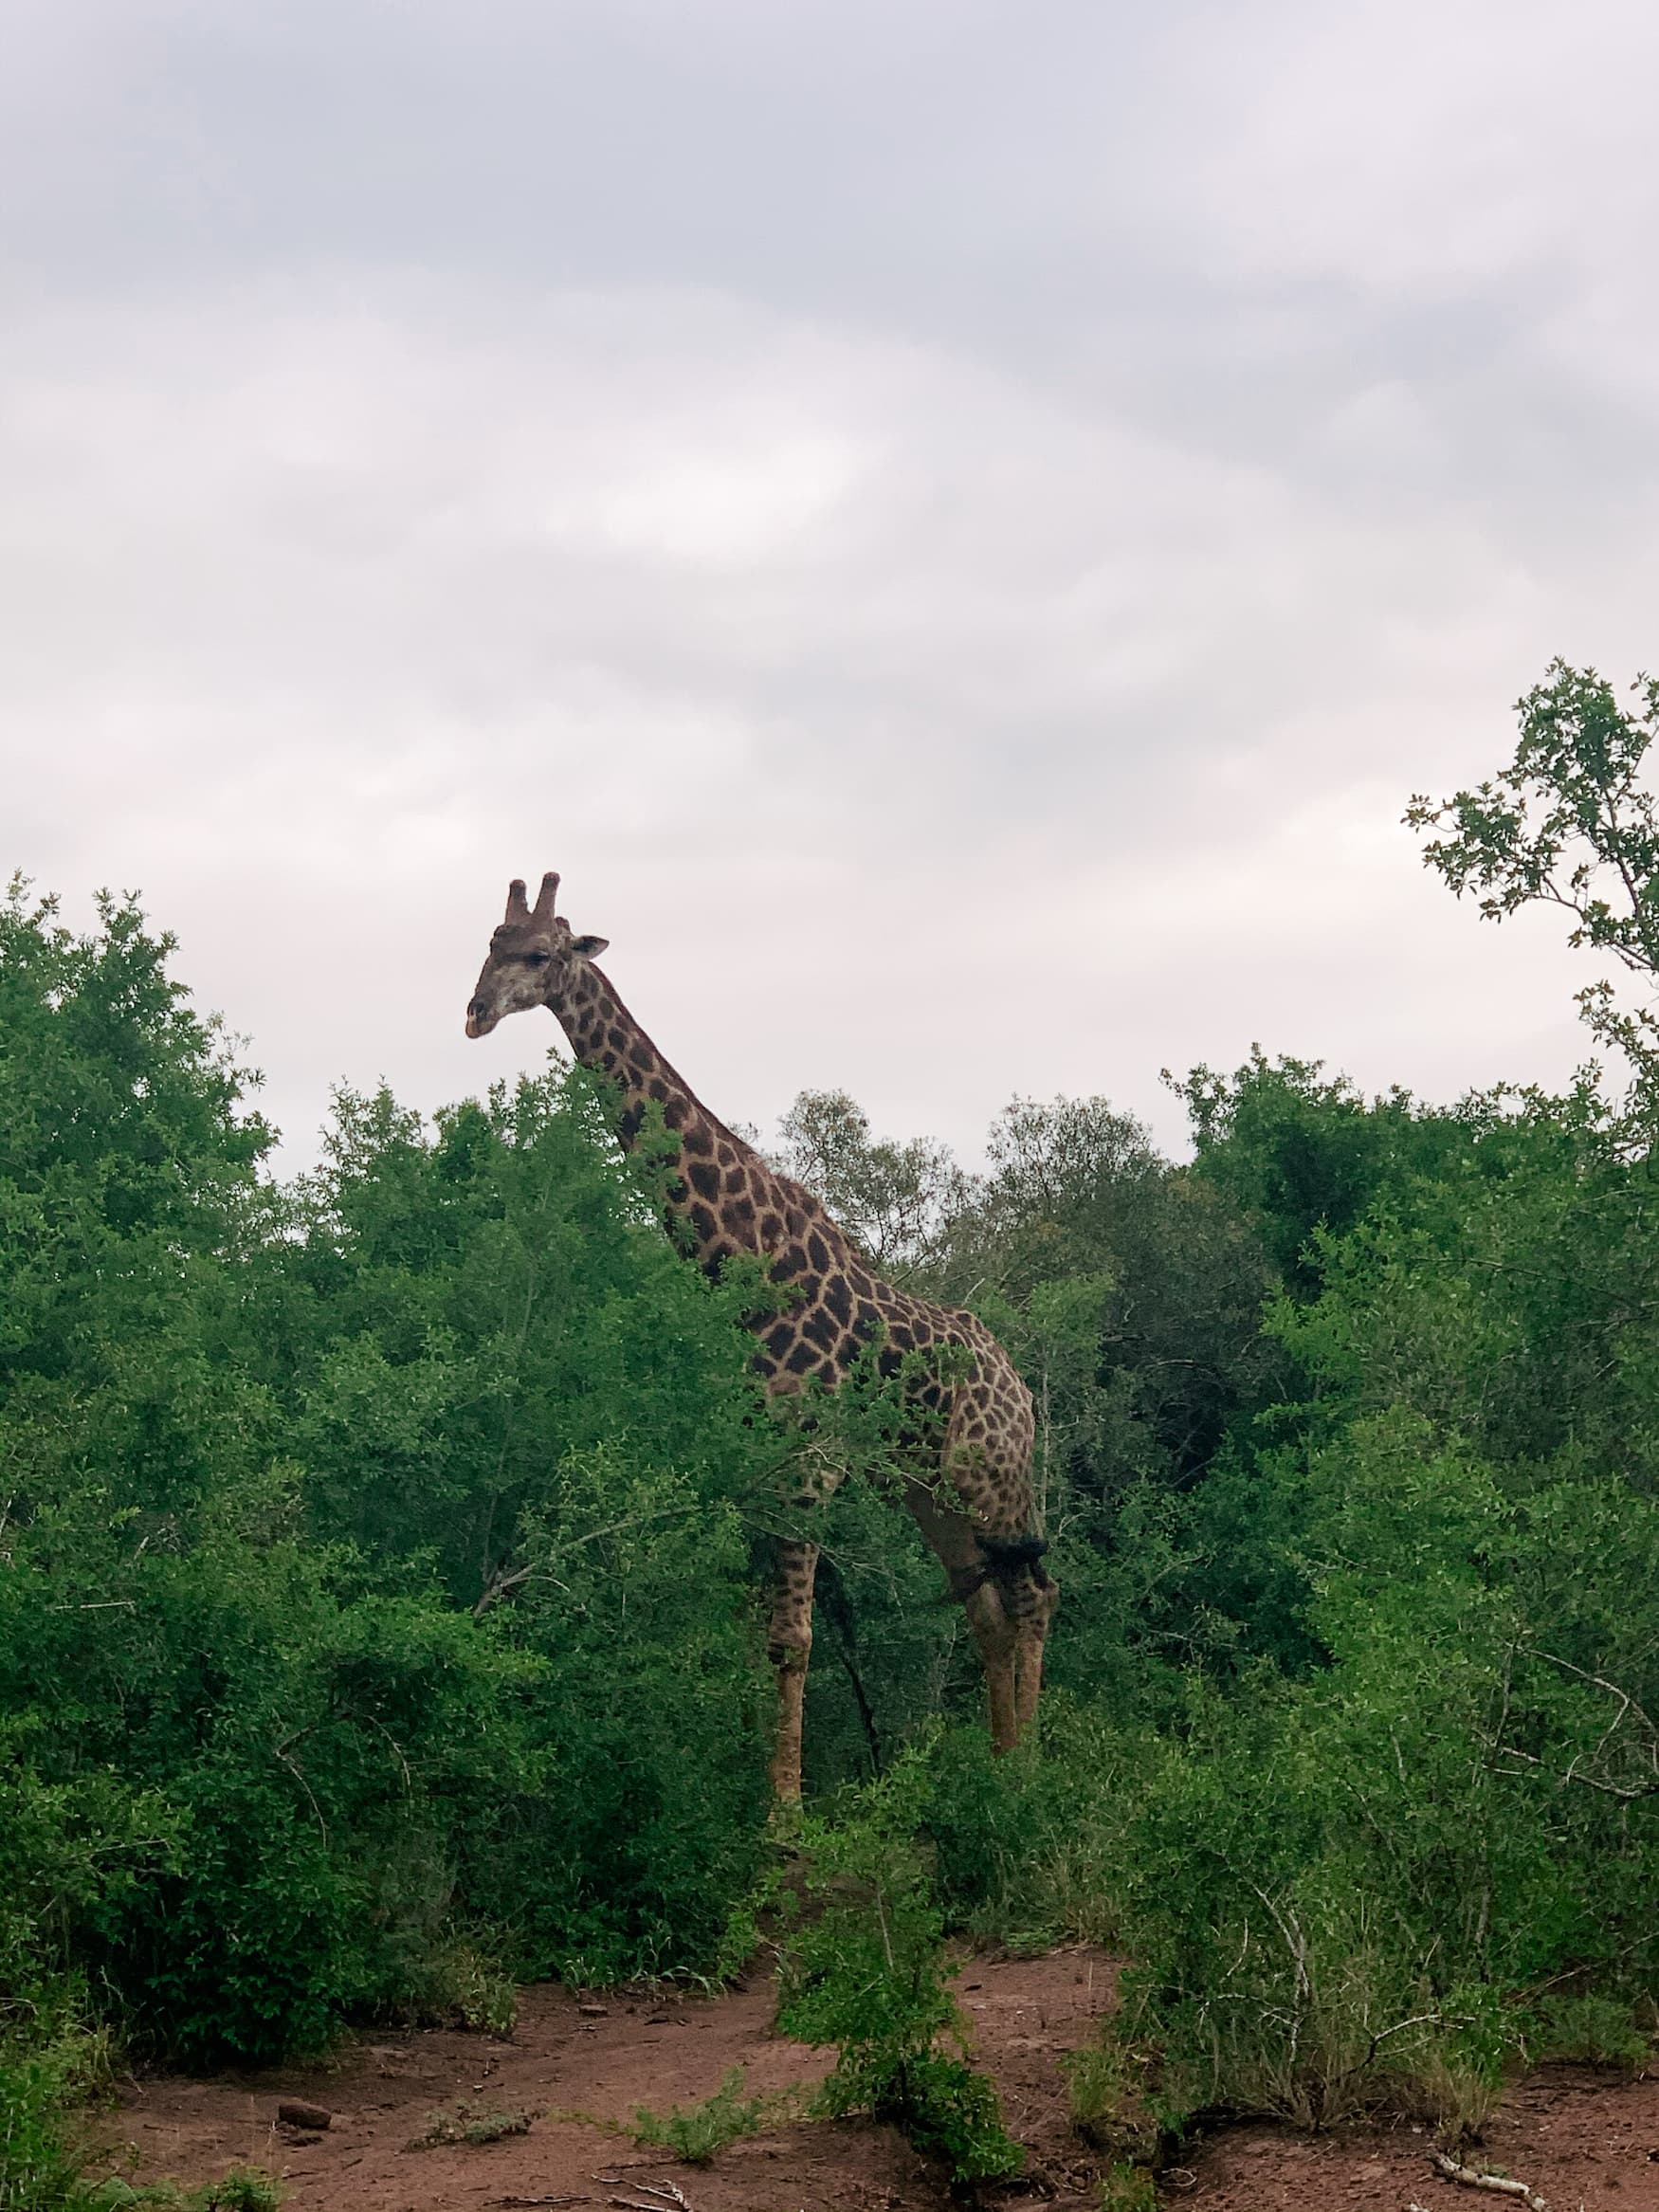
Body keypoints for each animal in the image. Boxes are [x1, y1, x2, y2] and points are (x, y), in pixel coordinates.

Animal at [465, 871, 1057, 1800]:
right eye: (489, 945)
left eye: (542, 954)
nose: (476, 1011)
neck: (740, 1262)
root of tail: (1020, 1388)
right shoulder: (752, 1464)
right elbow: (757, 1639)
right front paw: (756, 1794)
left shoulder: (806, 1466)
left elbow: (793, 1641)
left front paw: (784, 1811)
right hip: (928, 1488)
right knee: (990, 1605)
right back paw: (995, 1777)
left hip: (988, 1475)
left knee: (1033, 1595)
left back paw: (1029, 1779)